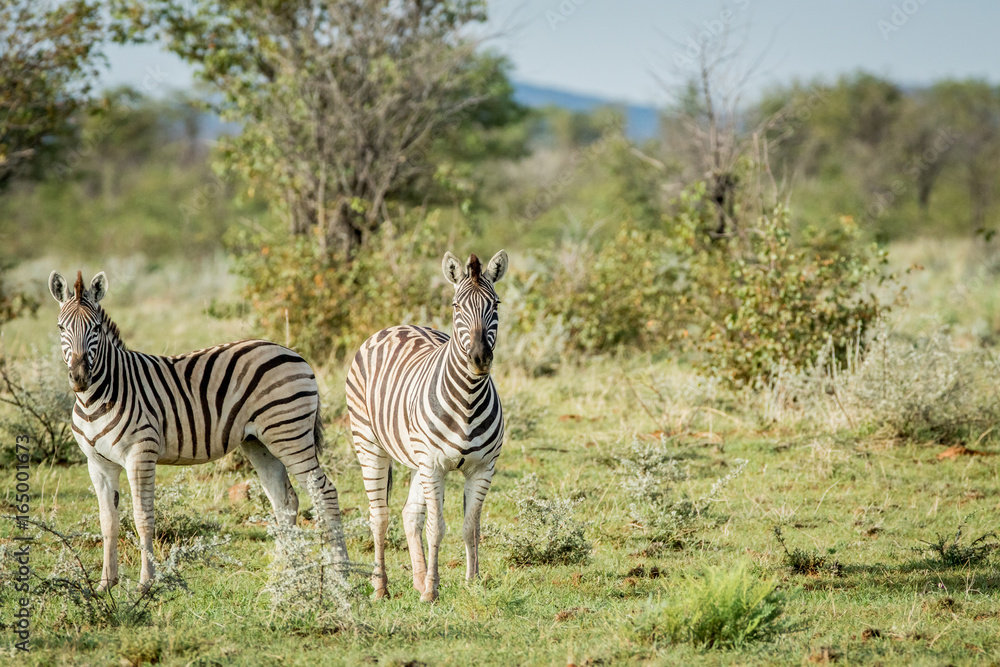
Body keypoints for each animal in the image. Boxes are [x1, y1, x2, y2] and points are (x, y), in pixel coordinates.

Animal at [47, 270, 348, 592]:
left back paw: (340, 574)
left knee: (325, 493)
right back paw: (280, 576)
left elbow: (143, 518)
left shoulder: (140, 455)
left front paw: (146, 583)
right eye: (60, 327)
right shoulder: (98, 465)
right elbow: (108, 522)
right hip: (260, 442)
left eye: (96, 328)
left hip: (290, 435)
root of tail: (291, 352)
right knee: (285, 501)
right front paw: (106, 583)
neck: (95, 398)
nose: (80, 377)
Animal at [346, 250, 507, 602]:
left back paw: (417, 579)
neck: (469, 399)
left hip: (417, 458)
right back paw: (381, 587)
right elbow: (437, 527)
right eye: (456, 306)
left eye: (496, 304)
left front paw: (472, 583)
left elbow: (470, 526)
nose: (479, 359)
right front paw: (432, 590)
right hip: (369, 443)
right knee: (379, 517)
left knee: (409, 514)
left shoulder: (482, 468)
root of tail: (397, 325)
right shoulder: (434, 465)